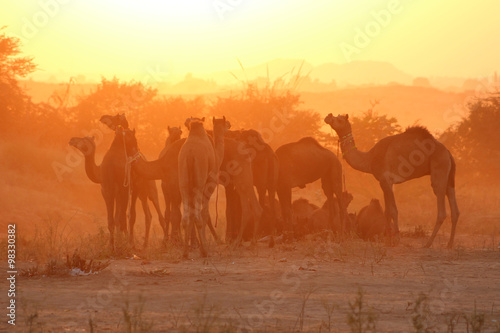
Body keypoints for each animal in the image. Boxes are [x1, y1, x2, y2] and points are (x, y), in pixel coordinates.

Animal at [324, 113, 460, 246]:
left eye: (340, 119)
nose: (328, 117)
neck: (369, 158)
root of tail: (448, 153)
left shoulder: (386, 180)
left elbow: (393, 210)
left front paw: (397, 239)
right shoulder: (384, 182)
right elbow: (387, 211)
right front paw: (387, 239)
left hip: (440, 167)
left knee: (441, 210)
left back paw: (428, 243)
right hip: (450, 177)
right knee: (455, 209)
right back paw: (450, 244)